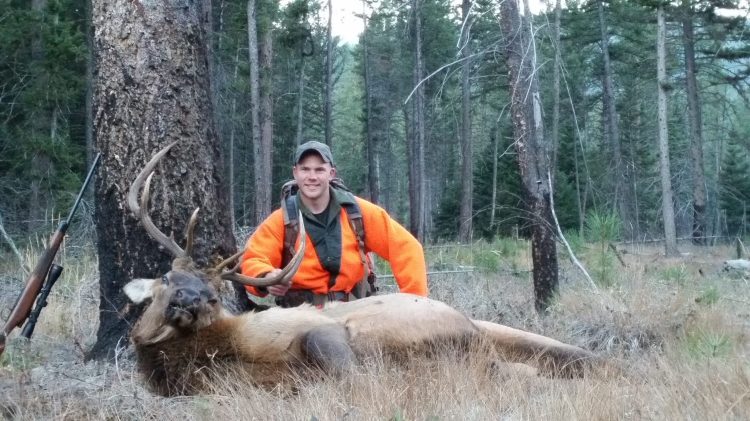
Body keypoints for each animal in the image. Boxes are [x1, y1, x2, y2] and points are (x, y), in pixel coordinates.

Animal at [123, 143, 597, 396]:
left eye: (213, 295)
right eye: (167, 278)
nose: (188, 301)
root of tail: (471, 326)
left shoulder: (314, 331)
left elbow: (344, 369)